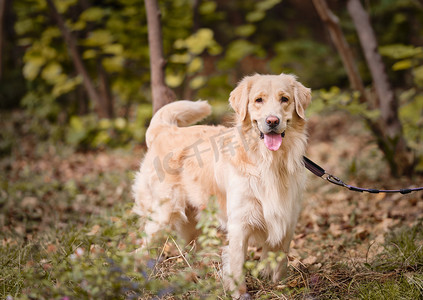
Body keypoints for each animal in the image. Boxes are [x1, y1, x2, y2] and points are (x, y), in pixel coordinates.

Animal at [132, 73, 312, 298]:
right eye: (258, 100)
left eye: (285, 99)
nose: (272, 121)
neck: (269, 162)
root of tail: (165, 129)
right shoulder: (240, 224)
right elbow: (237, 265)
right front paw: (240, 294)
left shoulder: (287, 219)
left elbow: (280, 261)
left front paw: (280, 286)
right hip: (163, 215)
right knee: (140, 250)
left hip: (190, 224)